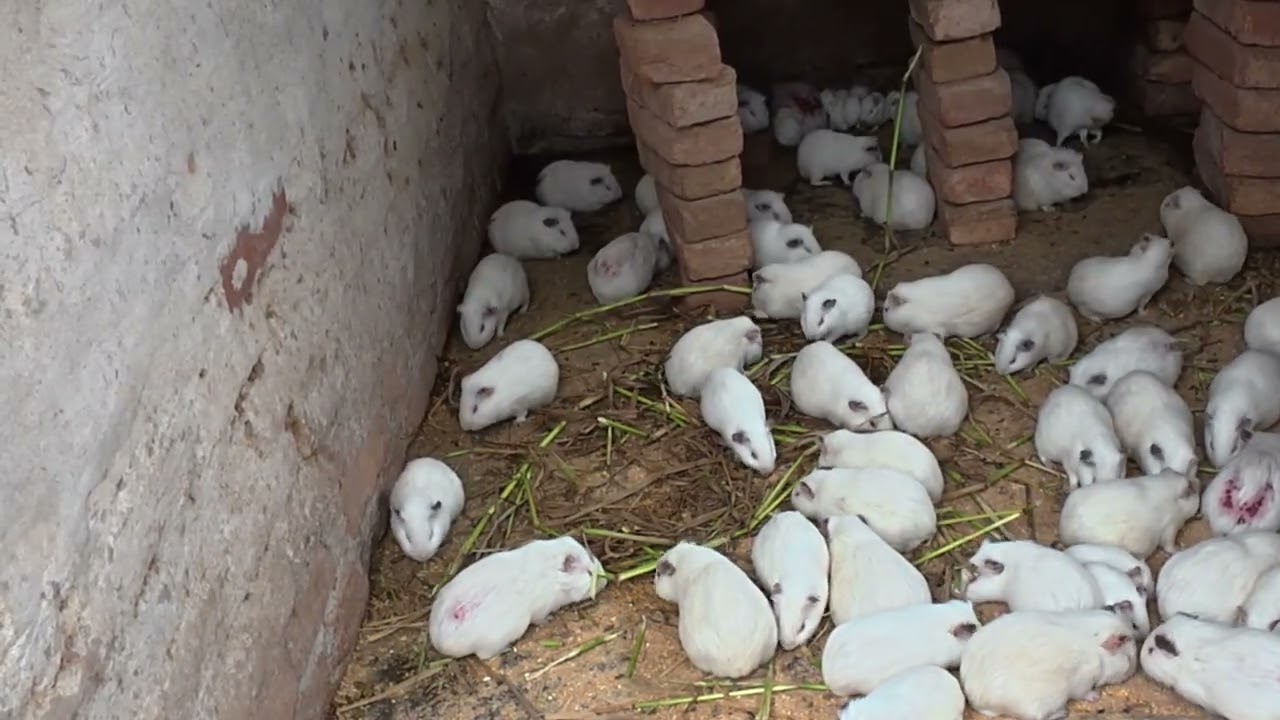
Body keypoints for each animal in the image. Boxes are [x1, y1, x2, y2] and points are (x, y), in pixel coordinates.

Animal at [428, 536, 605, 658]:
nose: (606, 581)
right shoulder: (541, 610)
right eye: (589, 573)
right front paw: (549, 620)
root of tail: (440, 642)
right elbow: (540, 619)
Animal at [960, 609, 1138, 720]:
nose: (1133, 669)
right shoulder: (1084, 680)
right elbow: (1084, 692)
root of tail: (978, 700)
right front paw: (1095, 696)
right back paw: (1062, 712)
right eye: (1128, 656)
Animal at [1059, 469, 1201, 558]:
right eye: (1190, 489)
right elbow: (1169, 546)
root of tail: (1063, 528)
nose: (1198, 481)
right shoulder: (1170, 529)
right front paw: (1181, 548)